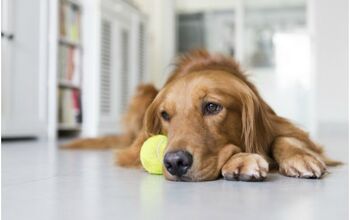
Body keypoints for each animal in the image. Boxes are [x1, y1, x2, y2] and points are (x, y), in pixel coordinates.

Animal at [65, 50, 340, 182]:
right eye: (165, 115)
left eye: (212, 107)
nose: (175, 162)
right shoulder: (133, 151)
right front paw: (241, 160)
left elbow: (285, 138)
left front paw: (300, 156)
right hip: (144, 92)